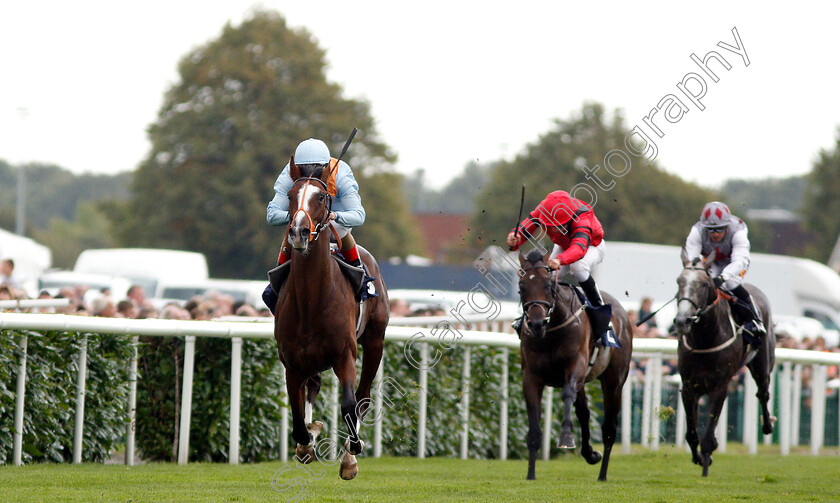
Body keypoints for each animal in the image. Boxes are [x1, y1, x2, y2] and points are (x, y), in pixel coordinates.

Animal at [276, 159, 390, 482]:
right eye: (290, 195)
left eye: (321, 197)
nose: (299, 232)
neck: (312, 300)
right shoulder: (292, 363)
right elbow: (297, 417)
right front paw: (307, 441)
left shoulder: (345, 354)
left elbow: (350, 405)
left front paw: (351, 455)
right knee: (313, 386)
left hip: (375, 341)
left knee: (363, 398)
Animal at [516, 250, 632, 482]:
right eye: (522, 286)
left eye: (548, 285)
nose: (536, 324)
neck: (551, 331)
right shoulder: (531, 377)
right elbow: (534, 425)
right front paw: (531, 474)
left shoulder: (575, 368)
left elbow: (568, 395)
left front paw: (566, 438)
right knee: (584, 412)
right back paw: (590, 454)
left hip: (614, 381)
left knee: (609, 428)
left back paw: (602, 474)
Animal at [672, 250, 776, 478]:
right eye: (679, 282)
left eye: (703, 284)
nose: (682, 320)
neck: (705, 338)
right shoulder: (689, 387)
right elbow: (691, 433)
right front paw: (699, 458)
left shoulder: (720, 386)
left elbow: (707, 436)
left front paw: (706, 463)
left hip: (763, 363)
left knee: (763, 392)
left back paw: (768, 424)